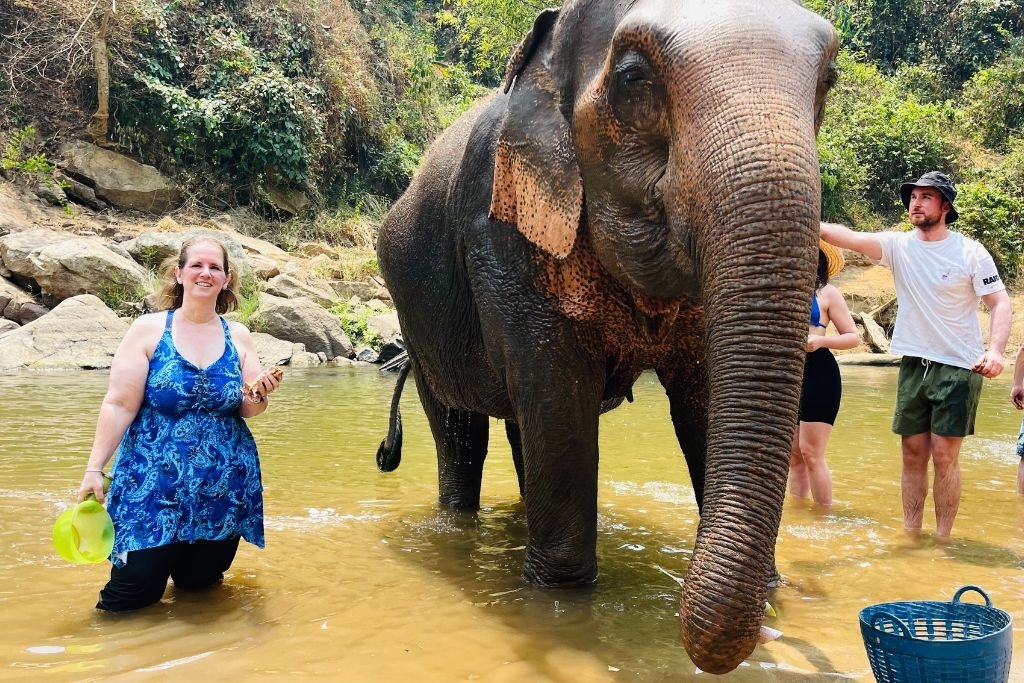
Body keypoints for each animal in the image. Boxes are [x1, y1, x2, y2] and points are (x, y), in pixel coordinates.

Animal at [376, 0, 839, 671]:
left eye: (829, 80)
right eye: (632, 79)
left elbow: (702, 402)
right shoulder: (503, 238)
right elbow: (560, 402)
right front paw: (561, 602)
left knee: (520, 428)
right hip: (418, 315)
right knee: (462, 432)